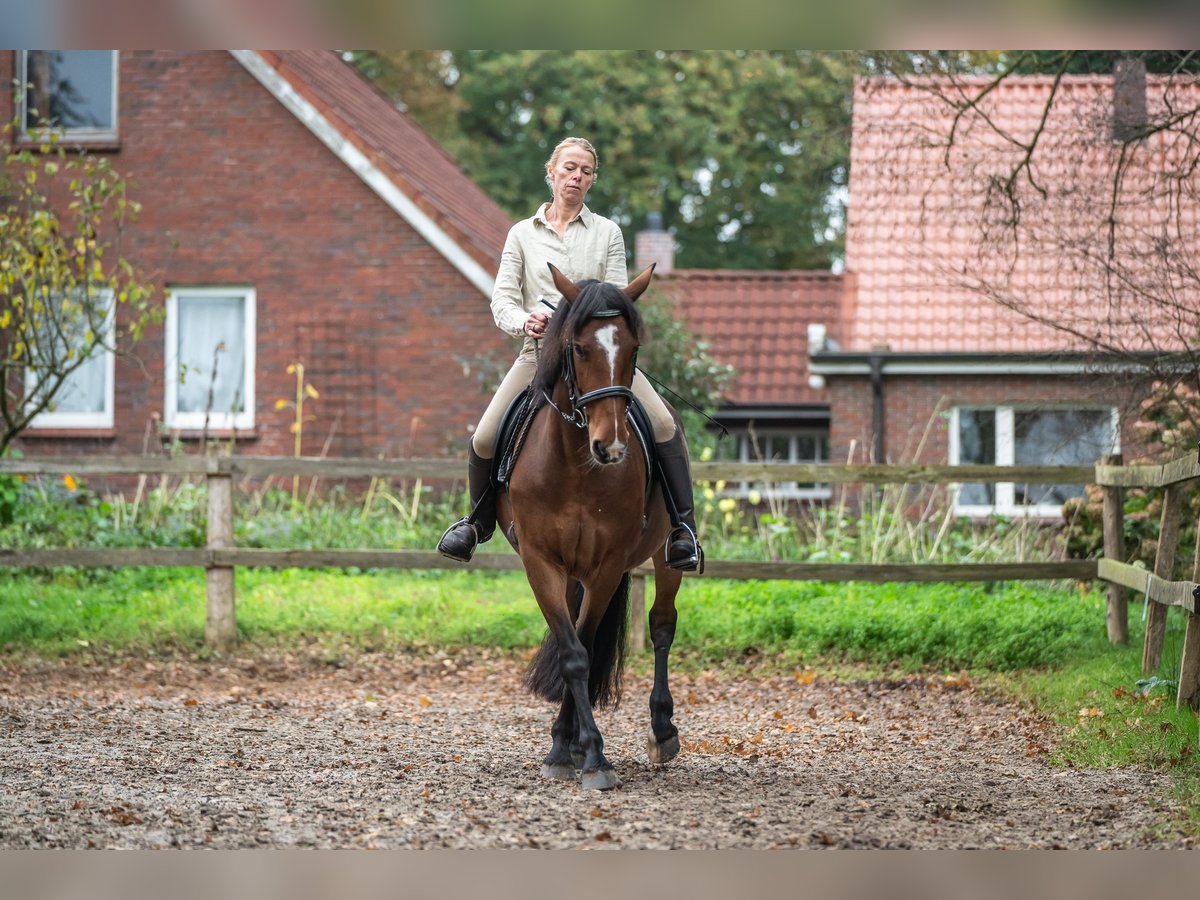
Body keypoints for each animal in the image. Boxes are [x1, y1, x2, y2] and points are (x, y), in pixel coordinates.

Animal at [496, 264, 686, 792]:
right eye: (579, 349)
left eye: (634, 349)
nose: (611, 447)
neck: (576, 466)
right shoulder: (542, 563)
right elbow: (572, 652)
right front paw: (567, 750)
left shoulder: (607, 566)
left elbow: (584, 644)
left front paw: (594, 756)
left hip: (664, 555)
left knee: (662, 626)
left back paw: (662, 730)